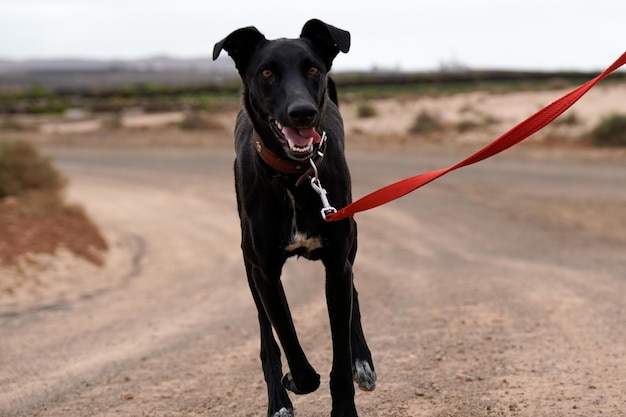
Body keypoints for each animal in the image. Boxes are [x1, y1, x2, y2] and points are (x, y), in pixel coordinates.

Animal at [213, 19, 376, 416]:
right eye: (267, 72)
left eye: (313, 70)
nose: (302, 112)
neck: (294, 176)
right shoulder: (266, 274)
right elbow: (289, 349)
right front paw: (291, 384)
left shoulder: (337, 265)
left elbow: (339, 356)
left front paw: (344, 404)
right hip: (249, 265)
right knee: (266, 336)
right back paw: (278, 399)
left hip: (350, 245)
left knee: (354, 297)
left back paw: (363, 361)